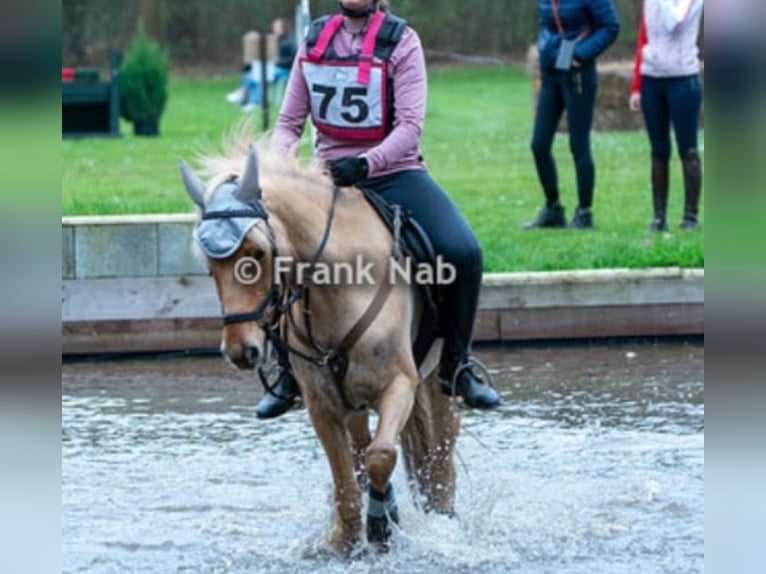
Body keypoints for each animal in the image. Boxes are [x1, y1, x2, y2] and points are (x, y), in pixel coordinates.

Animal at [182, 138, 462, 552]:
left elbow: (382, 455)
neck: (344, 286)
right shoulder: (323, 404)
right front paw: (351, 537)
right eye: (208, 265)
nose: (239, 351)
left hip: (437, 383)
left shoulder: (401, 384)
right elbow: (348, 487)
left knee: (437, 455)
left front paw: (380, 525)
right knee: (363, 450)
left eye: (257, 253)